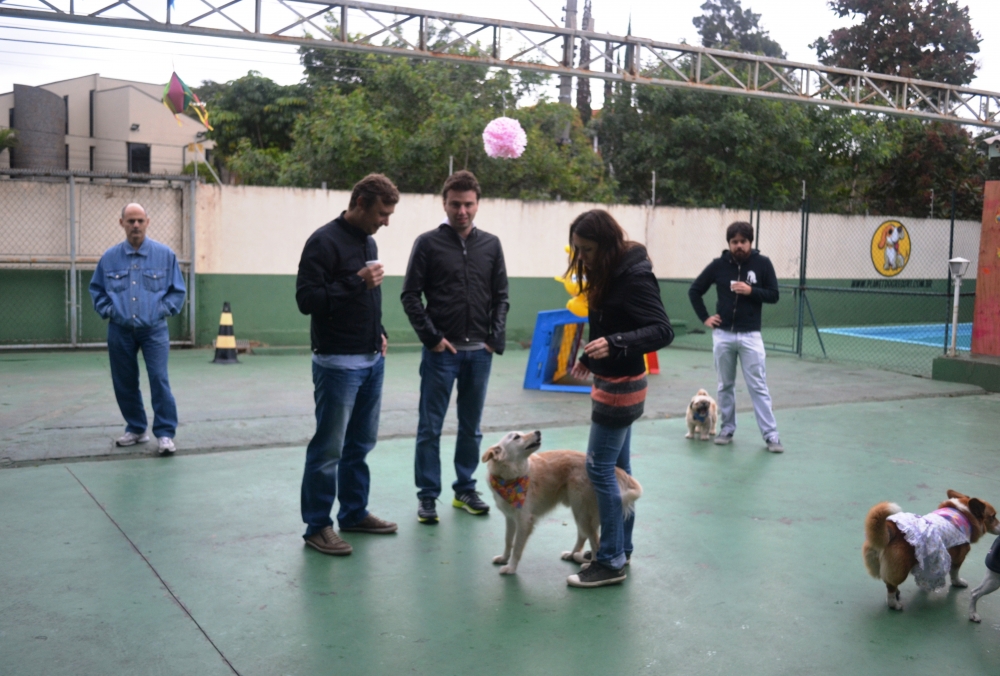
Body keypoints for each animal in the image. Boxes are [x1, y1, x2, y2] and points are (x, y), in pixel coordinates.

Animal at [482, 434, 640, 576]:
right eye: (516, 437)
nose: (538, 432)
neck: (509, 478)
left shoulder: (524, 521)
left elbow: (517, 548)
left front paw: (511, 568)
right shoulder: (510, 518)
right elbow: (508, 541)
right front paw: (504, 559)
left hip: (582, 511)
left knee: (595, 541)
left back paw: (591, 565)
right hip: (580, 511)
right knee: (583, 536)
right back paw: (572, 554)